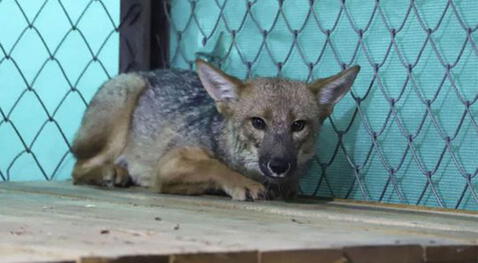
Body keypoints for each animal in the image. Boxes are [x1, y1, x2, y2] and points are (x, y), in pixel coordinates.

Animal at [71, 58, 358, 201]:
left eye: (298, 125)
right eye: (258, 122)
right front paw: (243, 184)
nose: (279, 165)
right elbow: (215, 166)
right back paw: (111, 173)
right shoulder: (171, 162)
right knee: (79, 169)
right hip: (127, 95)